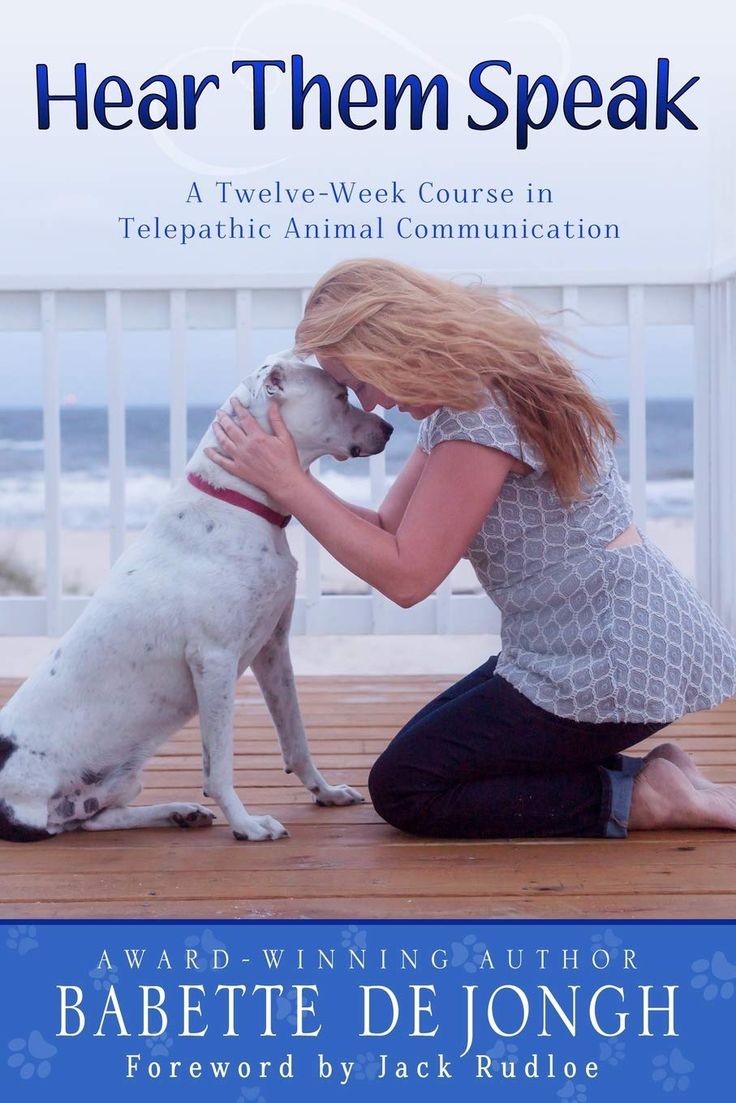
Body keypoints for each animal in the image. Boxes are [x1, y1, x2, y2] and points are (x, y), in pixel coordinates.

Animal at [0, 357, 390, 838]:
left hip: (119, 780)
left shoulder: (272, 648)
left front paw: (326, 792)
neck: (237, 500)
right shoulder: (214, 661)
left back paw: (179, 812)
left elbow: (296, 738)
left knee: (95, 819)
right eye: (339, 396)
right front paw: (246, 824)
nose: (391, 428)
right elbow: (218, 766)